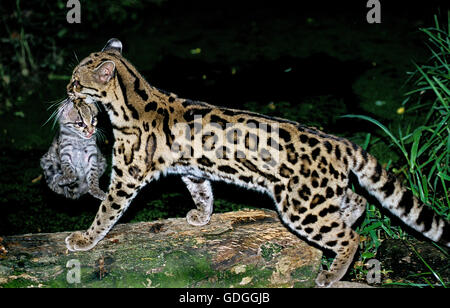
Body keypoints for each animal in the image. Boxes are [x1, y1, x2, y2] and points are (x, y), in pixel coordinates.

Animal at [65, 38, 448, 286]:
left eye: (76, 80)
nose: (67, 91)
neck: (130, 99)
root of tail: (339, 143)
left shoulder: (125, 176)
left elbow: (106, 211)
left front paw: (85, 239)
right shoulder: (192, 168)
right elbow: (202, 192)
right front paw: (202, 217)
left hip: (301, 205)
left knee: (350, 238)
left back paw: (332, 272)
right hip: (320, 194)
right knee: (356, 201)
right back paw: (349, 218)